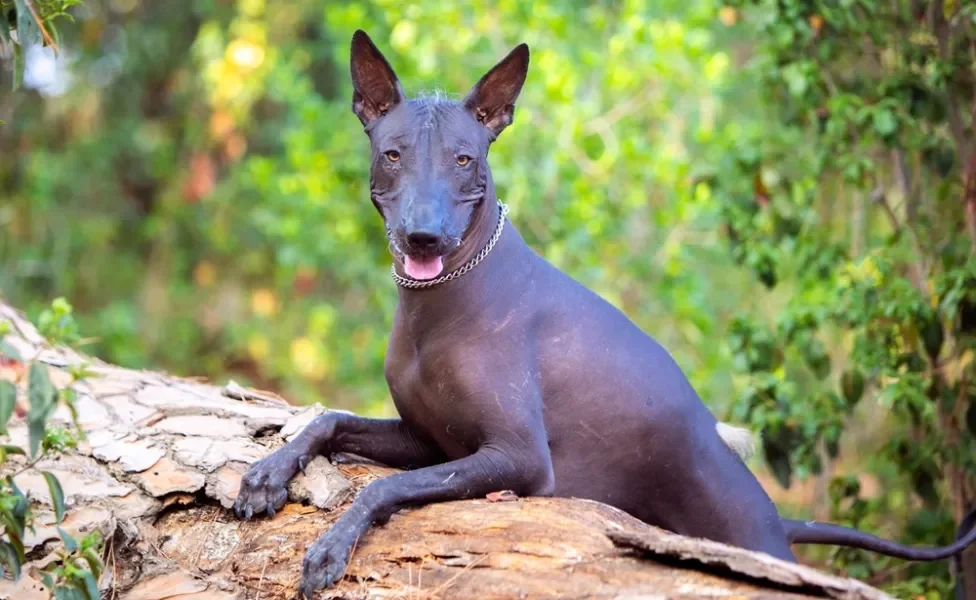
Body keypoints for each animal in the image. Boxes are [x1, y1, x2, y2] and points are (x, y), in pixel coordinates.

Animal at [236, 31, 976, 596]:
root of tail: (774, 517)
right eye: (392, 154)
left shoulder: (513, 458)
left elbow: (386, 489)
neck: (441, 303)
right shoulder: (433, 441)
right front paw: (269, 472)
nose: (424, 237)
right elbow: (329, 419)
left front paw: (330, 547)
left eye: (464, 159)